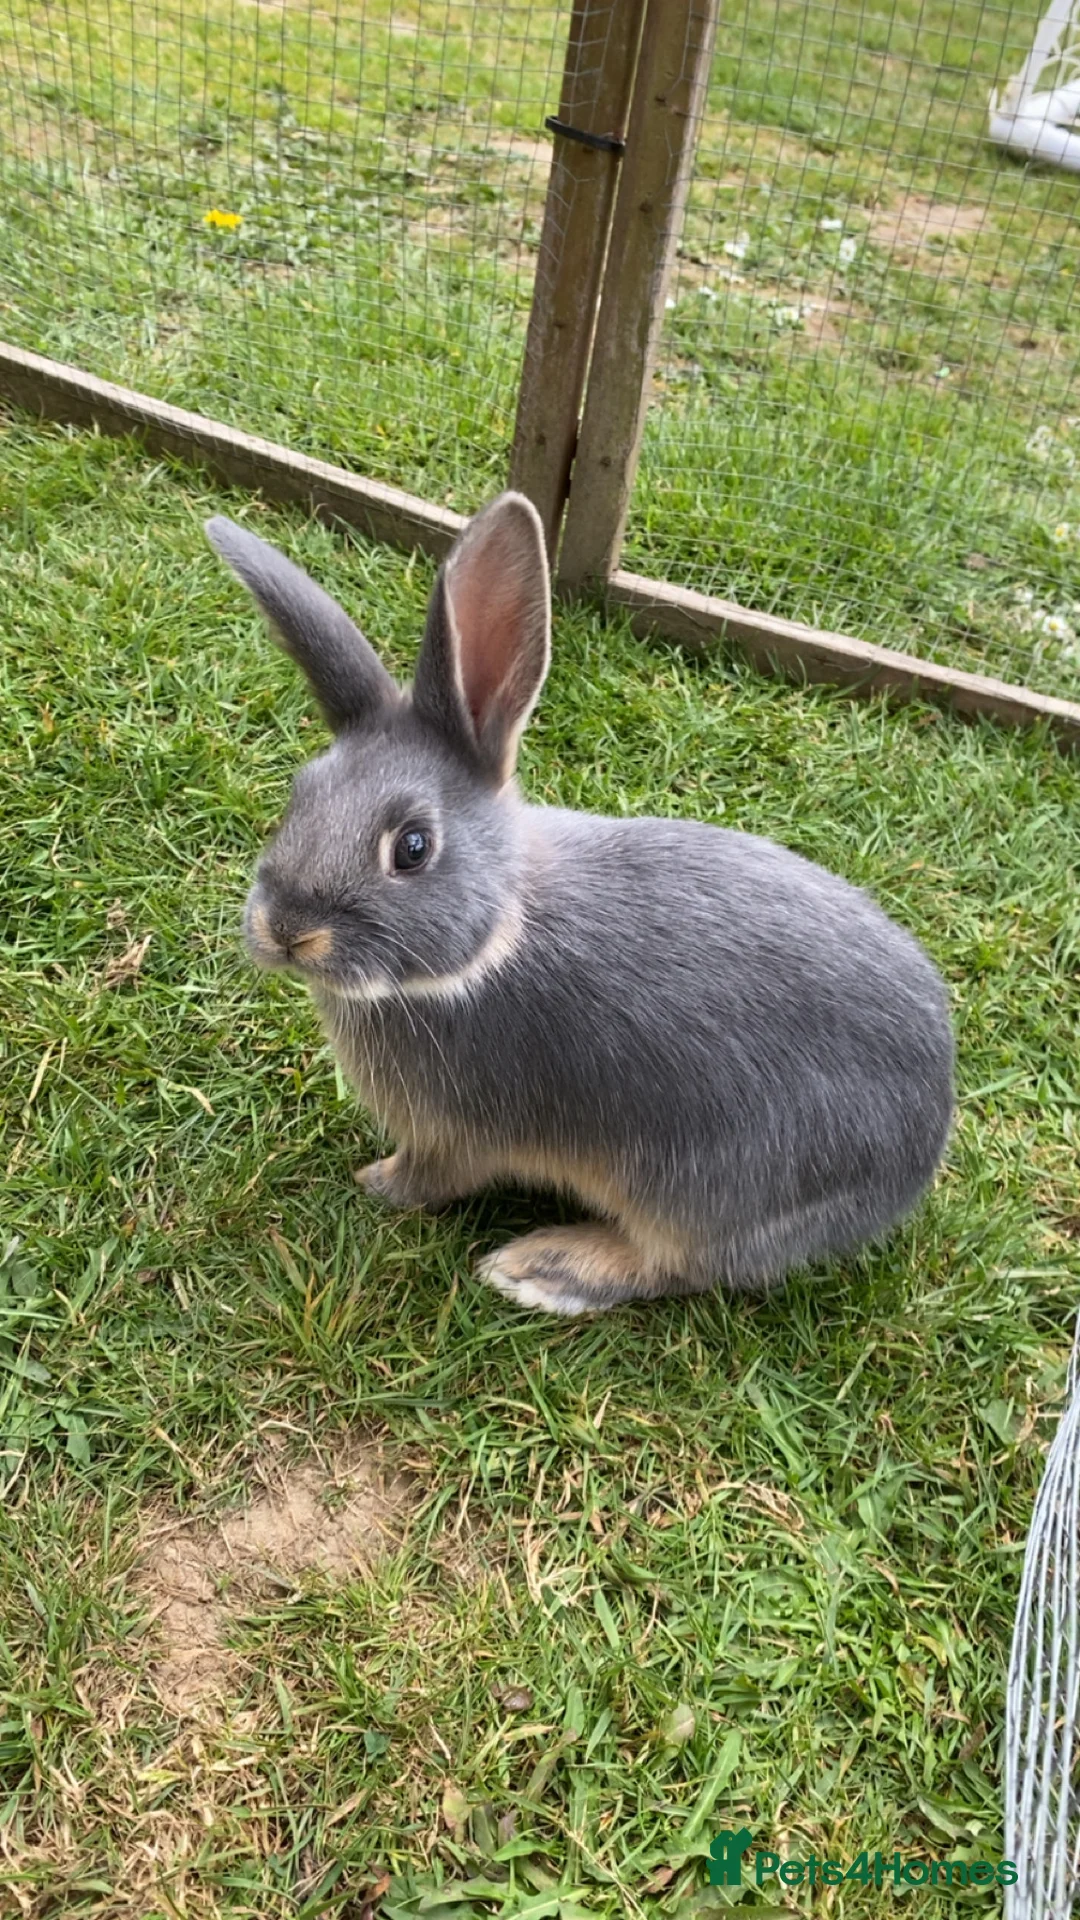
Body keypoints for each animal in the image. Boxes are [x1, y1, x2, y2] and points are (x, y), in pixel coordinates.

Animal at [206, 492, 955, 1316]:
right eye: (299, 795)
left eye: (412, 847)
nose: (285, 930)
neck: (494, 940)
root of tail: (922, 1148)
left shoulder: (456, 1136)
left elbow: (430, 1178)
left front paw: (373, 1184)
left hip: (703, 1193)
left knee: (676, 1267)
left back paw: (543, 1268)